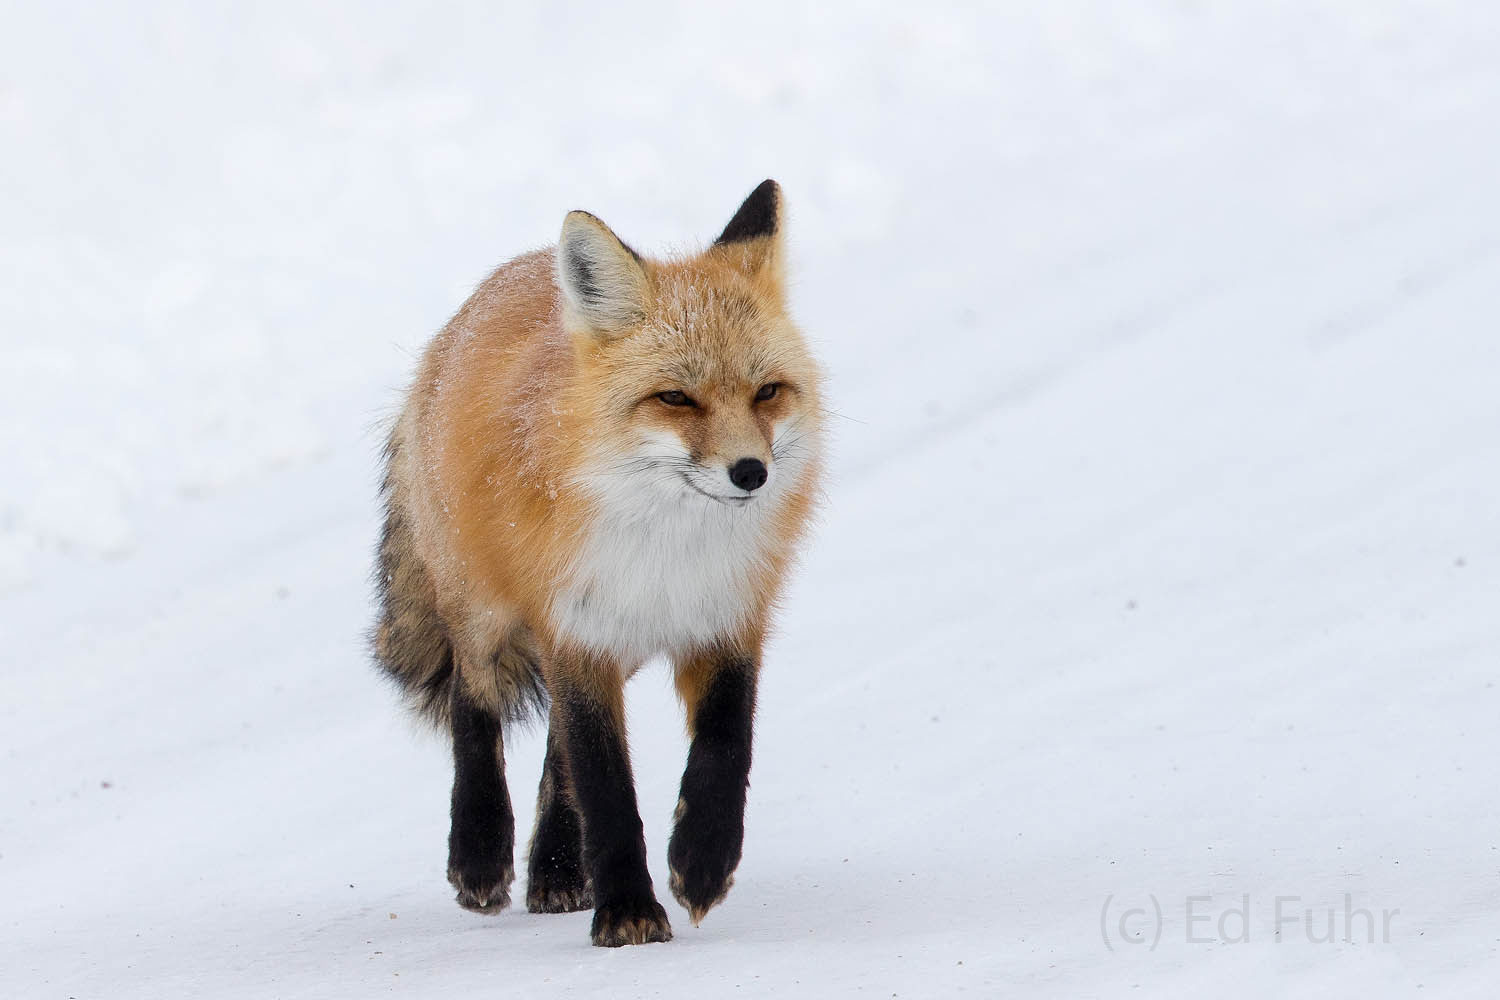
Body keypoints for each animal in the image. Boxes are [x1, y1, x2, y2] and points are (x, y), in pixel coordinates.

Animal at [370, 182, 828, 947]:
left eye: (767, 392)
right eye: (676, 398)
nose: (750, 473)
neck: (671, 548)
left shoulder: (728, 618)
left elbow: (726, 747)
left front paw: (702, 862)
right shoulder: (579, 630)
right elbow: (607, 785)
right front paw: (629, 911)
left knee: (555, 747)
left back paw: (555, 868)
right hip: (485, 609)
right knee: (475, 702)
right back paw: (481, 851)